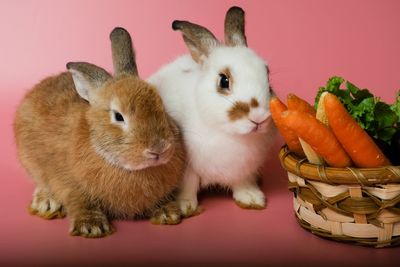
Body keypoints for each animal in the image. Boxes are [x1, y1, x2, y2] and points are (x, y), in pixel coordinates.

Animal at [13, 27, 186, 239]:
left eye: (162, 106)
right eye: (118, 116)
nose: (159, 149)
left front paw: (167, 213)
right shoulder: (69, 184)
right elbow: (81, 201)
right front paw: (92, 226)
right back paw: (46, 203)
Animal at [148, 6, 276, 218]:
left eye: (267, 74)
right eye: (223, 81)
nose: (259, 118)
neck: (229, 134)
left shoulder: (244, 169)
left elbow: (243, 182)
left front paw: (252, 199)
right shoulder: (187, 167)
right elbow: (188, 185)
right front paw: (185, 206)